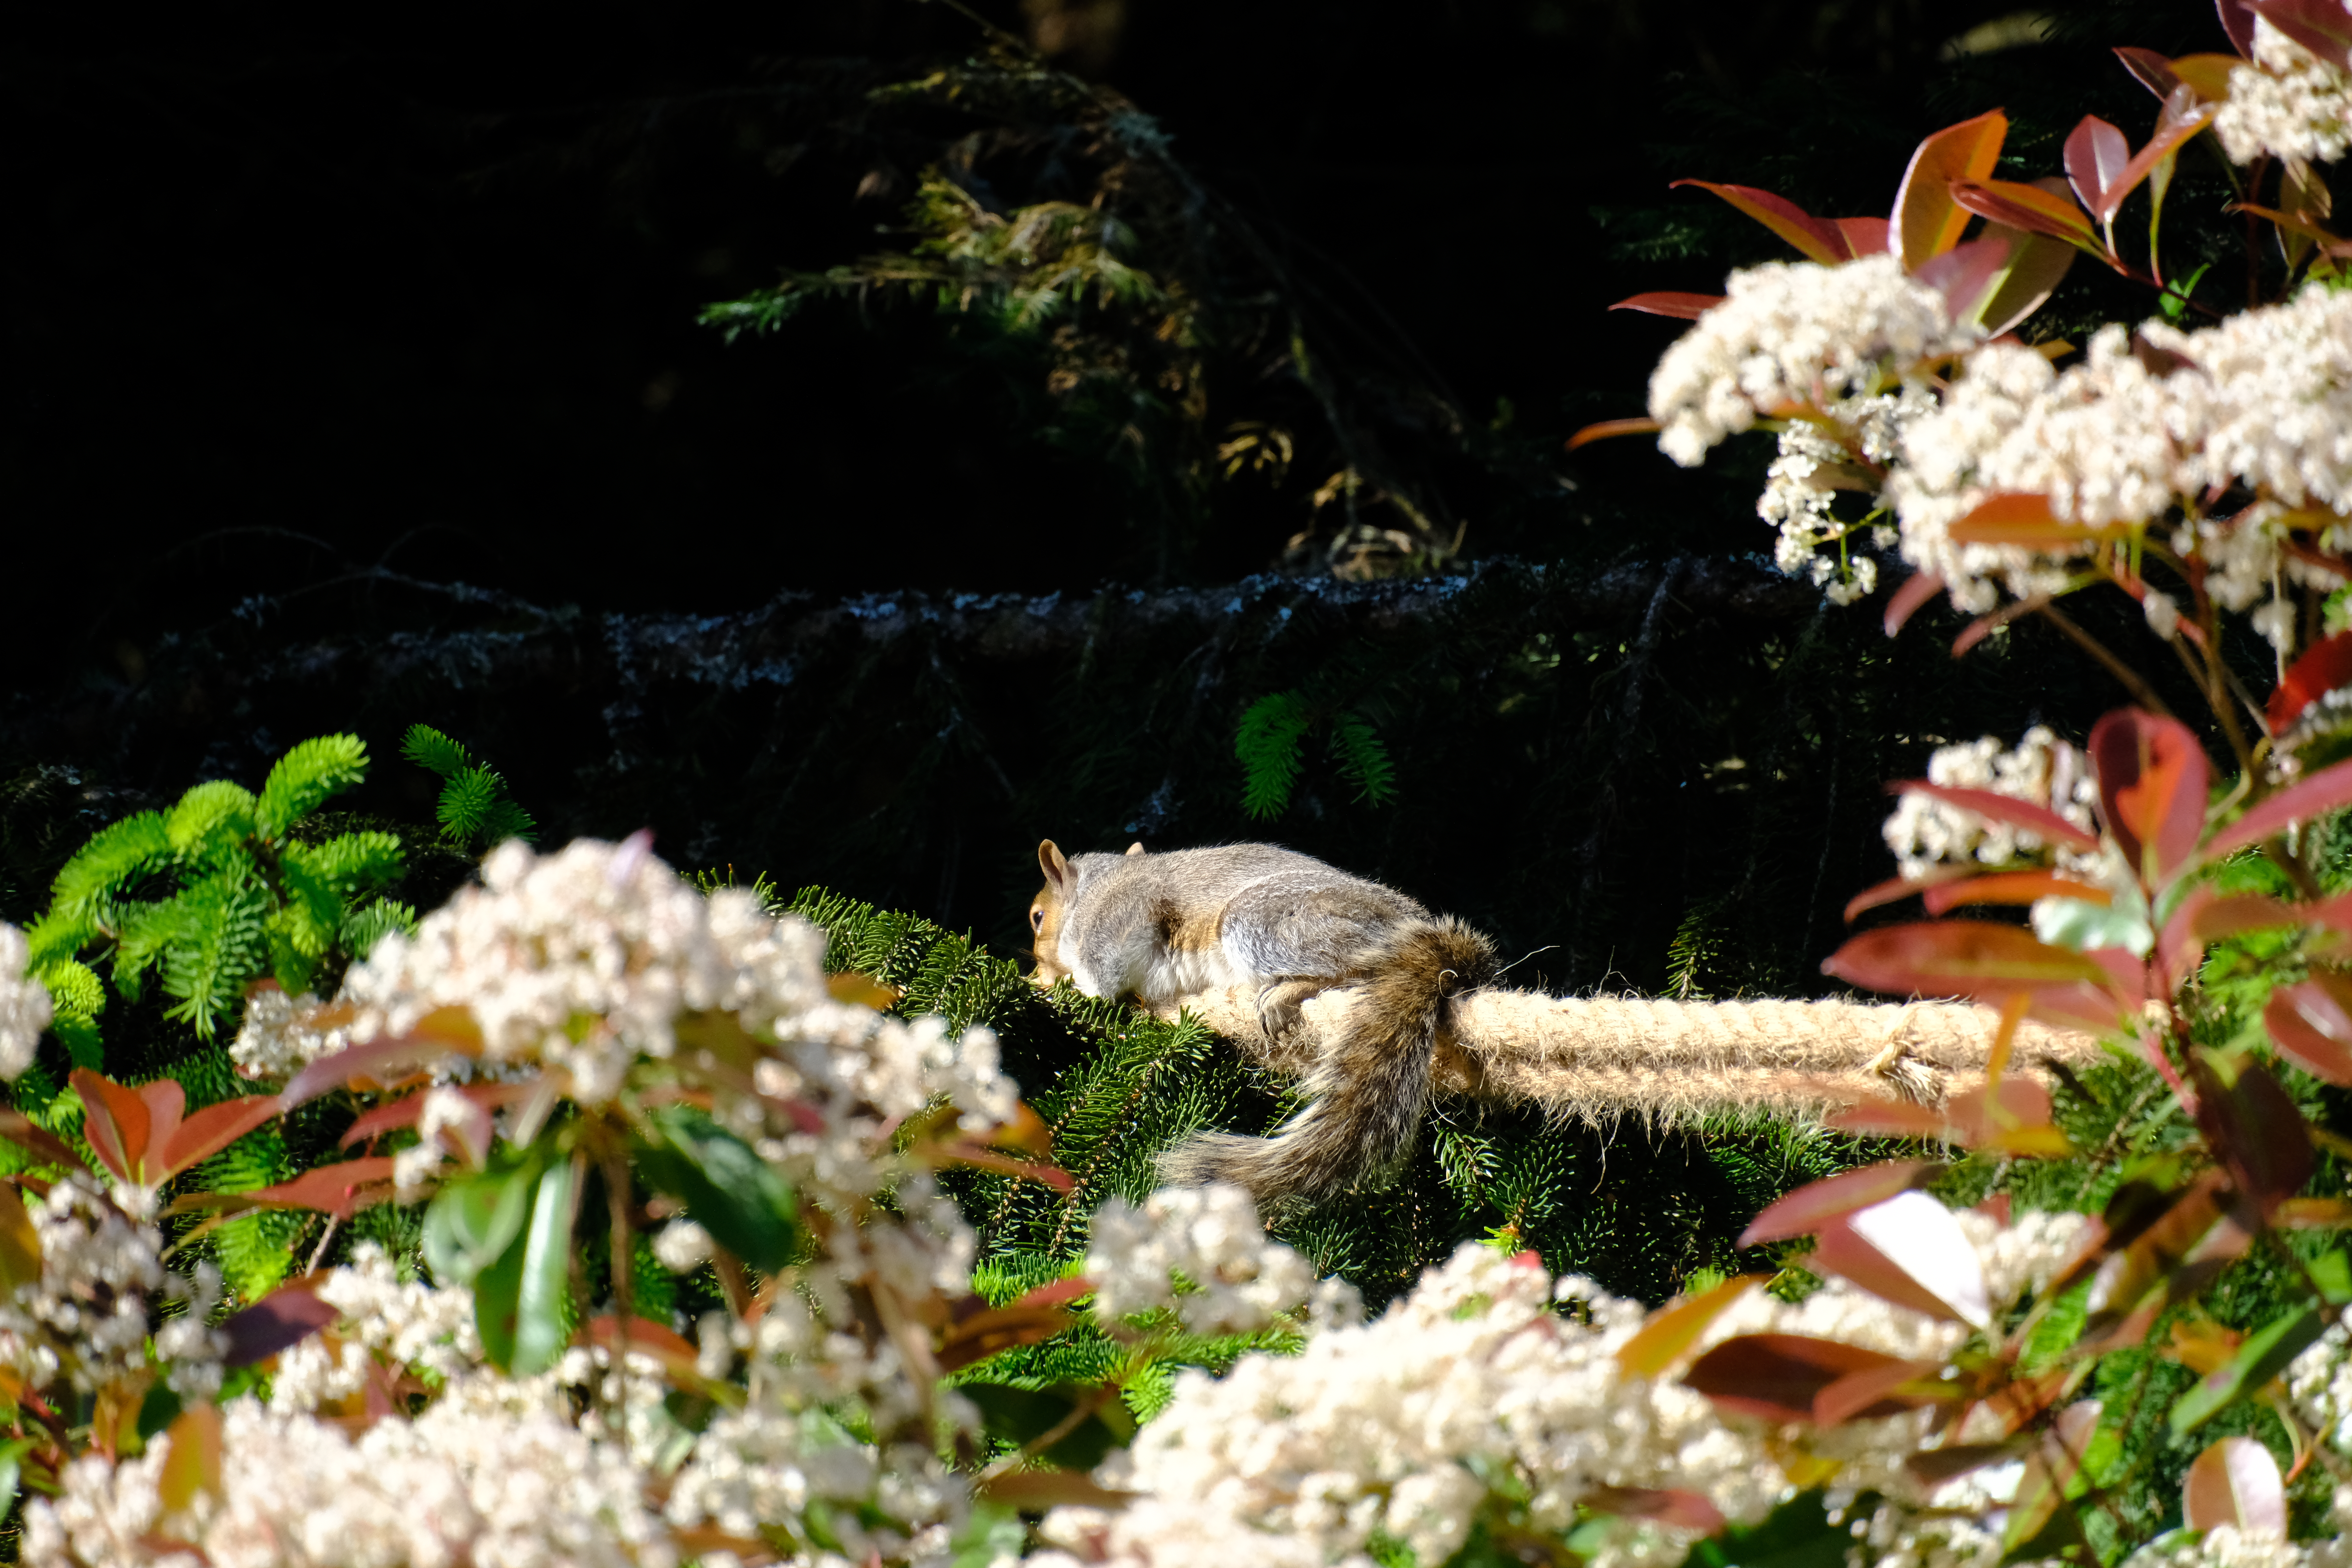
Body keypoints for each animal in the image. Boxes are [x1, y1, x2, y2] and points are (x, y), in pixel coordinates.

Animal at [1027, 838, 1496, 1211]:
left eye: (1036, 917)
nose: (1035, 969)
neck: (1094, 890)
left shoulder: (1115, 920)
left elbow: (1101, 976)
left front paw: (1064, 986)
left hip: (1266, 920)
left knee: (1357, 969)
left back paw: (1289, 992)